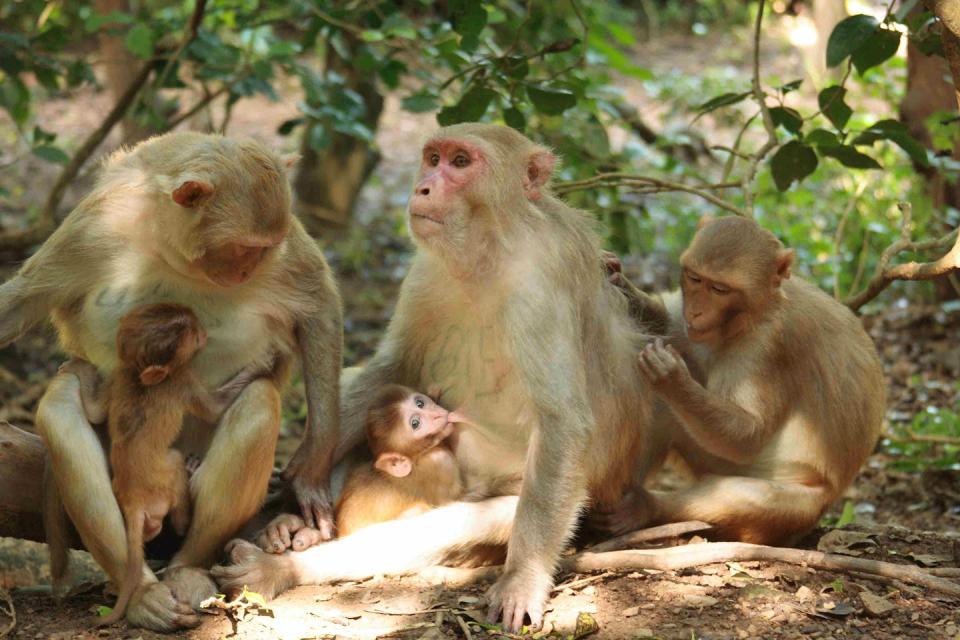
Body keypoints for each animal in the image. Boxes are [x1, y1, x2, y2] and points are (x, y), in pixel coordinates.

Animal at [0, 132, 344, 632]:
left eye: (263, 248)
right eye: (242, 247)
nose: (247, 271)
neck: (169, 249)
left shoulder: (287, 251)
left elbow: (318, 305)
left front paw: (314, 463)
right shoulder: (95, 228)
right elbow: (23, 302)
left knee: (259, 401)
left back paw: (187, 566)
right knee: (60, 406)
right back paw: (140, 589)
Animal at [600, 216, 884, 544]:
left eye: (720, 289)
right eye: (695, 278)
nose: (695, 312)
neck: (758, 311)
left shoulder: (767, 347)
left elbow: (747, 434)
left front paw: (673, 379)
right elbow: (670, 328)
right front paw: (617, 277)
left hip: (799, 507)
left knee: (749, 496)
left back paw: (646, 507)